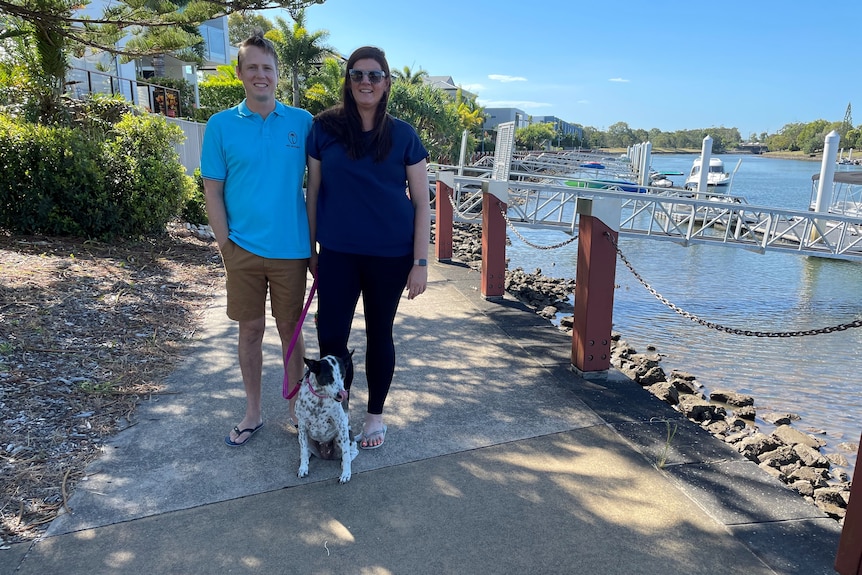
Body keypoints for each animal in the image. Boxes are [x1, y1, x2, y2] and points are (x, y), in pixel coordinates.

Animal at [296, 354, 358, 484]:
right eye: (329, 376)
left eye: (343, 375)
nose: (342, 394)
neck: (320, 397)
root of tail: (325, 454)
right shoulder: (302, 426)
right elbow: (303, 451)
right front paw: (303, 467)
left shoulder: (342, 426)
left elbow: (346, 454)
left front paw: (346, 473)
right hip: (305, 437)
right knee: (306, 450)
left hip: (342, 437)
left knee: (352, 451)